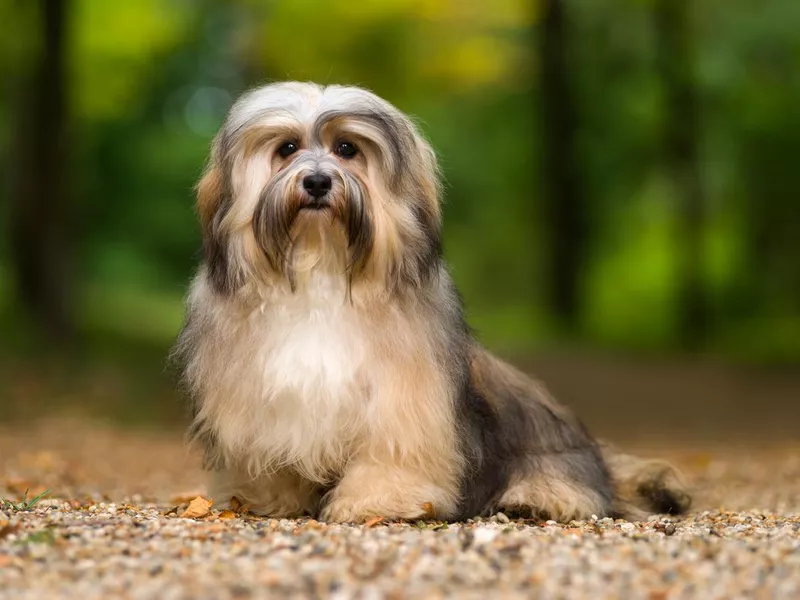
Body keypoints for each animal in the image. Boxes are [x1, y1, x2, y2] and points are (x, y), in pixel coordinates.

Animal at [172, 82, 692, 524]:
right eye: (286, 149)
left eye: (347, 149)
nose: (318, 182)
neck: (321, 270)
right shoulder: (262, 400)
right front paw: (265, 498)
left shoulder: (405, 398)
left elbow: (393, 452)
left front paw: (378, 502)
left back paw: (535, 499)